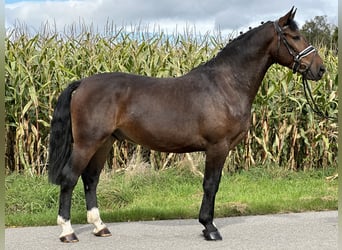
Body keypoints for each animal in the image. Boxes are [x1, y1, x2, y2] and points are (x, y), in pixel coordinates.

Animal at [47, 7, 324, 242]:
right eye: (295, 36)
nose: (320, 69)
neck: (226, 84)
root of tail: (82, 83)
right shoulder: (217, 147)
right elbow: (211, 184)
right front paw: (209, 228)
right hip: (87, 143)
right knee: (70, 179)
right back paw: (68, 232)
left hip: (104, 143)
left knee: (90, 179)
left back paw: (100, 227)